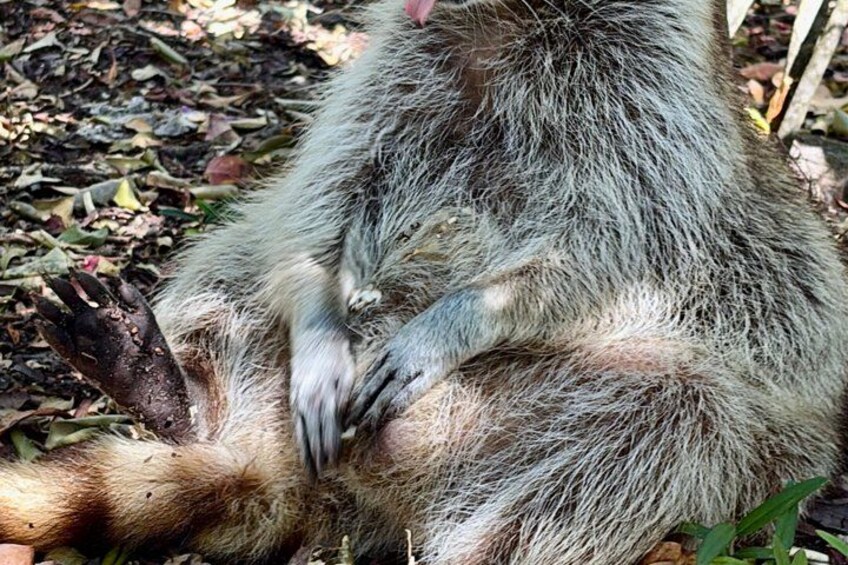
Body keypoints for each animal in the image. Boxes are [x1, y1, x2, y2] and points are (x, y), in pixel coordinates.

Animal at [2, 0, 848, 563]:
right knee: (248, 250)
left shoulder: (654, 89)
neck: (511, 11)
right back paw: (169, 389)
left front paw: (464, 316)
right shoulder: (399, 67)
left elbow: (615, 241)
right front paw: (319, 330)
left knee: (654, 426)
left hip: (748, 451)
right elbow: (329, 195)